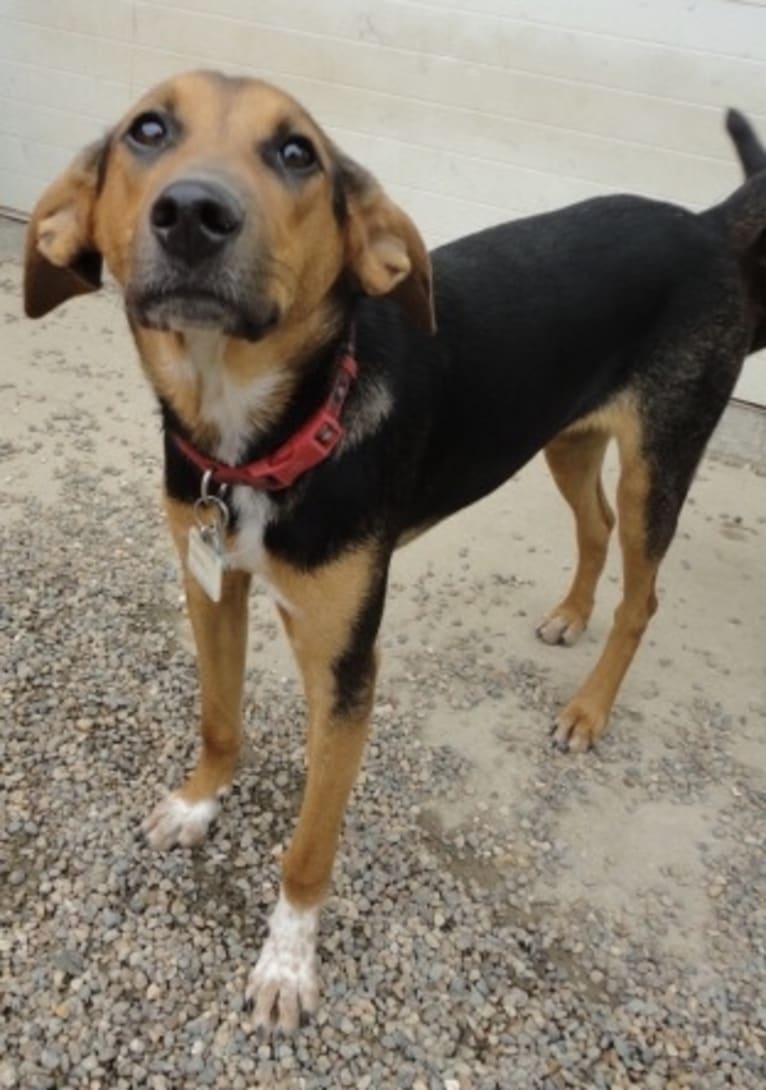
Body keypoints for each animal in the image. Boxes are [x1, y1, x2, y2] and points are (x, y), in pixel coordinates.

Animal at [22, 70, 766, 1028]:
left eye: (297, 151)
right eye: (147, 131)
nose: (192, 213)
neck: (261, 435)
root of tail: (705, 224)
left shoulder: (345, 664)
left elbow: (309, 845)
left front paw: (287, 963)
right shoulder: (211, 584)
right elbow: (220, 717)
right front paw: (196, 803)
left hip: (658, 462)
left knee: (643, 593)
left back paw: (588, 711)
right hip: (563, 437)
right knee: (593, 528)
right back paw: (569, 615)